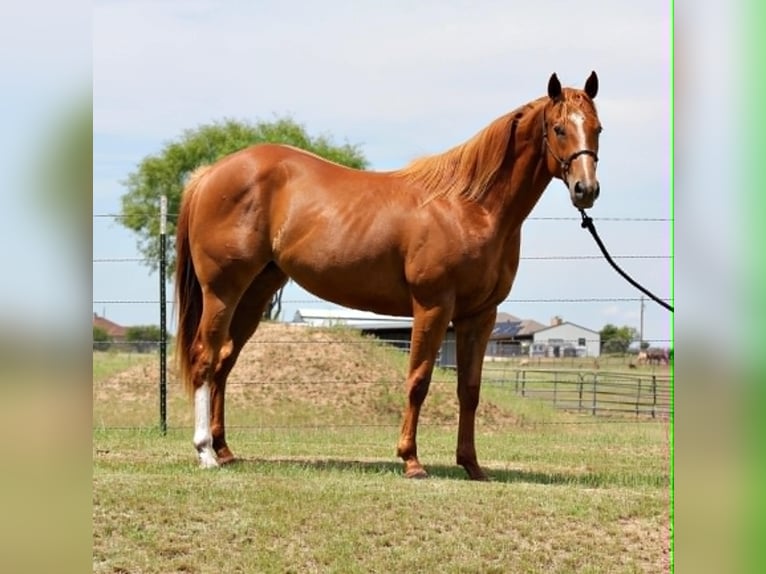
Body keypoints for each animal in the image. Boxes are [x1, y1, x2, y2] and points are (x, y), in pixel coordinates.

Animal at [175, 72, 602, 480]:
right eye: (559, 128)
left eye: (597, 128)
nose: (586, 189)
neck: (470, 207)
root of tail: (209, 174)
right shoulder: (433, 306)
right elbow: (419, 380)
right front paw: (411, 460)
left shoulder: (480, 316)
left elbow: (470, 389)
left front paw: (472, 465)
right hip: (222, 291)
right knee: (204, 358)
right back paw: (205, 452)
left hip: (256, 292)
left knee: (224, 362)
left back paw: (224, 450)